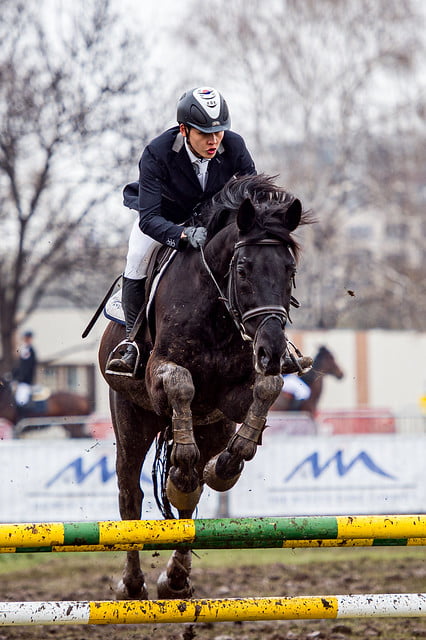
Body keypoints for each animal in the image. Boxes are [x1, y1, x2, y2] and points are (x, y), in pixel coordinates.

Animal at [98, 174, 312, 600]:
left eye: (289, 269)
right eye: (243, 269)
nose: (272, 349)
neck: (215, 307)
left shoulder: (230, 398)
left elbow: (269, 388)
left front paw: (226, 467)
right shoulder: (160, 373)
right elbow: (181, 384)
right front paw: (185, 471)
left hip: (211, 426)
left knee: (189, 501)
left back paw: (176, 578)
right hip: (131, 420)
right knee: (130, 496)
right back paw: (132, 585)